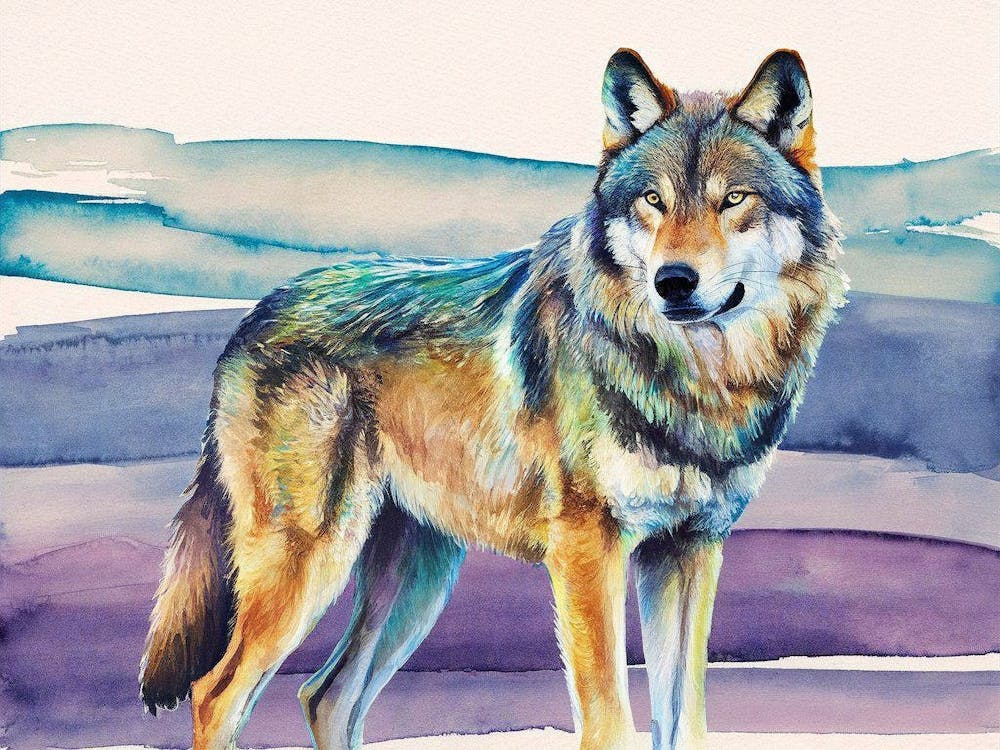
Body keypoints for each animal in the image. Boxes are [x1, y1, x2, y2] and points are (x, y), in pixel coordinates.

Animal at [140, 49, 847, 750]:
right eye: (653, 200)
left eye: (733, 200)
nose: (673, 281)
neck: (695, 380)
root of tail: (254, 315)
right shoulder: (587, 550)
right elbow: (610, 723)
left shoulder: (691, 550)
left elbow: (686, 723)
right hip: (312, 563)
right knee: (215, 694)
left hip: (417, 582)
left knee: (326, 697)